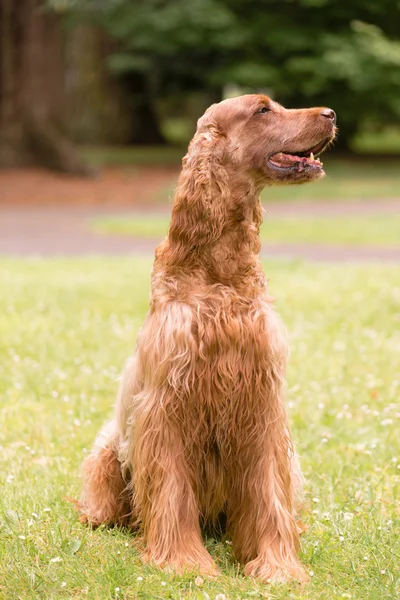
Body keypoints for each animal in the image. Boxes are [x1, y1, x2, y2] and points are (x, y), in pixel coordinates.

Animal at [79, 96, 336, 584]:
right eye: (262, 110)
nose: (330, 114)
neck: (218, 272)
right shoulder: (166, 407)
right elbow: (172, 492)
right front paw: (183, 562)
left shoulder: (260, 402)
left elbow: (268, 493)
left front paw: (277, 564)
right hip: (107, 452)